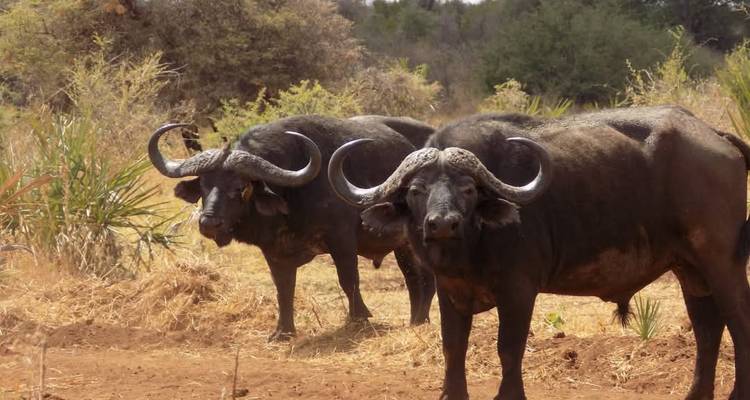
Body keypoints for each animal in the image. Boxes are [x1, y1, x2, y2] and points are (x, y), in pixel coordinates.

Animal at [148, 115, 435, 341]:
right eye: (204, 185)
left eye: (240, 187)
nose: (209, 223)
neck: (292, 194)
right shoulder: (274, 252)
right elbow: (283, 289)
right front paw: (283, 331)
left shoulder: (341, 240)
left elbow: (348, 280)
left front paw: (359, 319)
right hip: (401, 247)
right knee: (413, 281)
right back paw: (415, 322)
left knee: (425, 280)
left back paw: (421, 321)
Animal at [329, 105, 750, 399]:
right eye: (417, 190)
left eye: (468, 188)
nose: (442, 224)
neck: (472, 246)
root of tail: (714, 134)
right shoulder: (450, 292)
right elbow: (453, 347)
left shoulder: (519, 290)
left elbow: (509, 348)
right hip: (691, 271)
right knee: (707, 330)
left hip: (722, 264)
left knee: (737, 323)